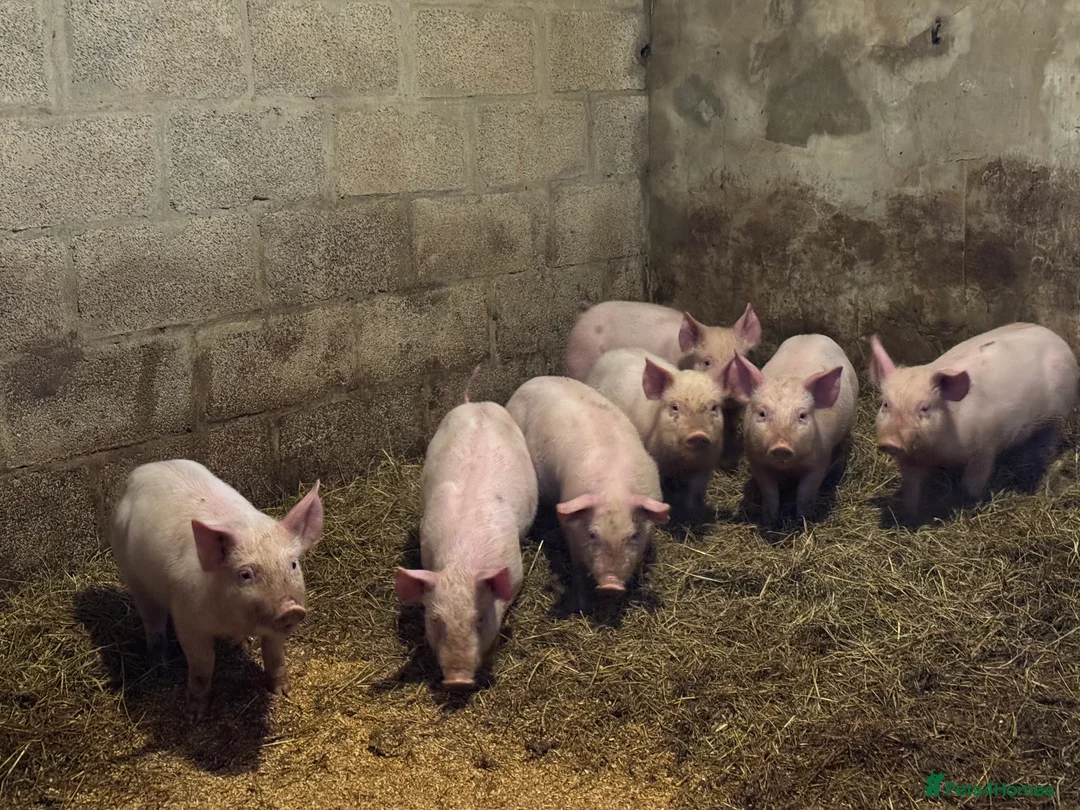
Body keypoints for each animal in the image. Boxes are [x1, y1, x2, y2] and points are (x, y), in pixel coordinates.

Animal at [109, 460, 324, 720]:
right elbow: (203, 663)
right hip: (133, 577)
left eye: (292, 564)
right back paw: (160, 667)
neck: (232, 620)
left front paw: (284, 692)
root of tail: (144, 470)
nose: (291, 609)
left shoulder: (274, 631)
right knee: (153, 621)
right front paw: (195, 715)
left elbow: (274, 654)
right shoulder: (187, 619)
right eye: (245, 574)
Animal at [505, 376, 671, 602]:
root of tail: (530, 381)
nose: (611, 585)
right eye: (592, 534)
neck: (614, 488)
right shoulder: (570, 523)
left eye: (634, 535)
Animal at [585, 348, 727, 518]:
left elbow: (696, 491)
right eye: (674, 407)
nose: (698, 434)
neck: (681, 461)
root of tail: (613, 351)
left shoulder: (706, 463)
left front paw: (694, 513)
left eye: (714, 408)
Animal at [723, 334, 857, 525]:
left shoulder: (819, 460)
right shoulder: (756, 461)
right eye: (762, 413)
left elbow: (805, 493)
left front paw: (803, 520)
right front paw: (769, 520)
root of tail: (811, 335)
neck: (787, 467)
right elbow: (769, 493)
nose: (781, 446)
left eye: (802, 415)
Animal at [869, 322, 1079, 522]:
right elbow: (911, 487)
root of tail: (1055, 337)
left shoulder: (985, 447)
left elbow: (972, 484)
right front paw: (908, 515)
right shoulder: (910, 459)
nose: (890, 442)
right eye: (886, 405)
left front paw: (966, 506)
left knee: (1050, 441)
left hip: (1059, 416)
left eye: (924, 408)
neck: (935, 452)